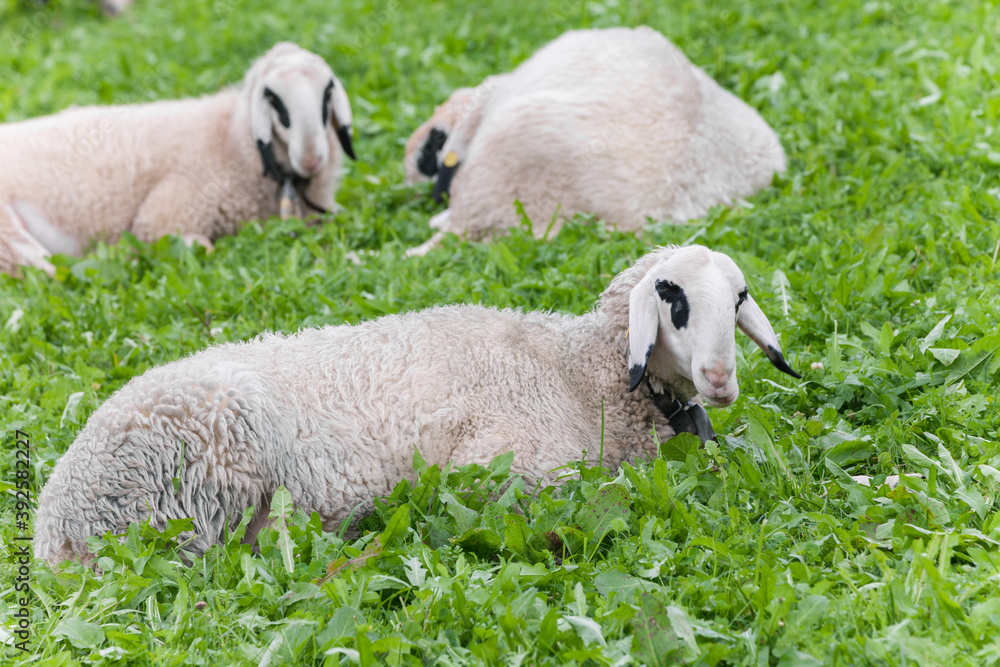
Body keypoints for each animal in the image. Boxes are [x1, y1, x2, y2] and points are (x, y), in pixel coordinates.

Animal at [0, 42, 355, 277]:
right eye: (274, 100)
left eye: (328, 93)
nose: (311, 159)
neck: (227, 136)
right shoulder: (166, 215)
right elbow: (198, 246)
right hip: (9, 233)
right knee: (46, 272)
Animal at [34, 244, 800, 565]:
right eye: (672, 299)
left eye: (738, 298)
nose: (720, 379)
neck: (578, 372)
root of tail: (55, 527)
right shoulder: (507, 464)